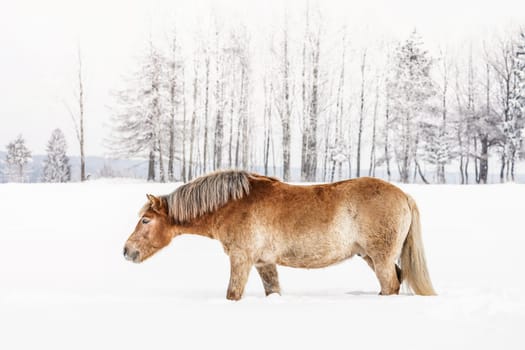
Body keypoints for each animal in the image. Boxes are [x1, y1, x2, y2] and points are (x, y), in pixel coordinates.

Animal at [122, 168, 434, 300]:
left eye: (146, 220)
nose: (126, 251)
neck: (234, 203)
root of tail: (404, 196)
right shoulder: (264, 263)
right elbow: (273, 290)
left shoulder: (241, 260)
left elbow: (232, 294)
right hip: (370, 257)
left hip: (380, 258)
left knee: (391, 284)